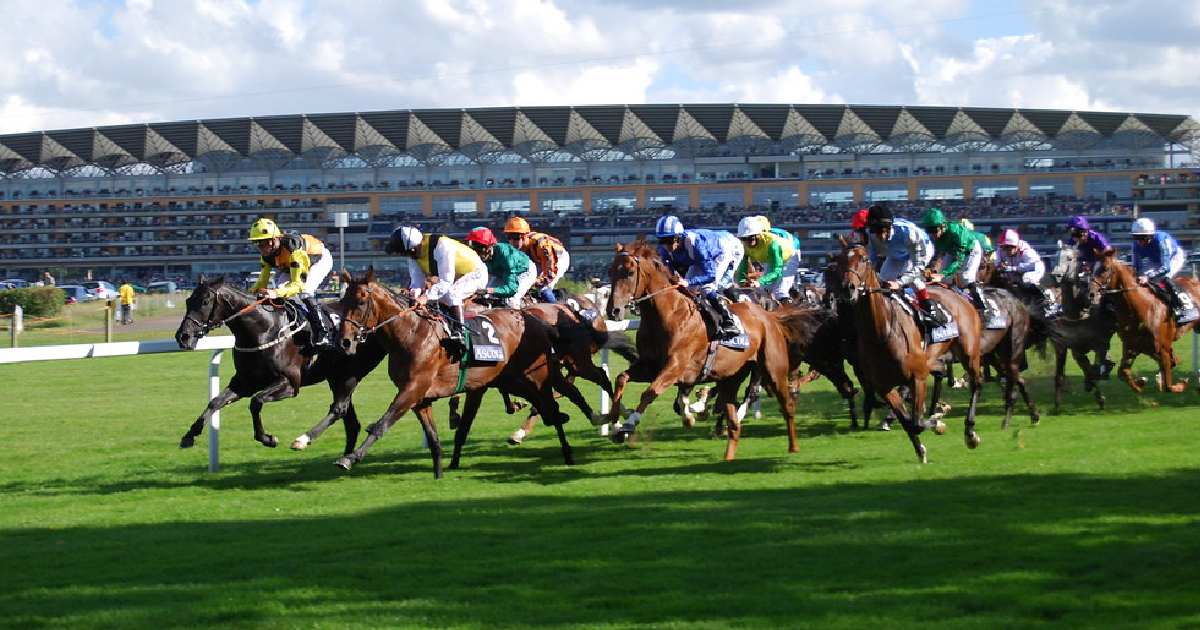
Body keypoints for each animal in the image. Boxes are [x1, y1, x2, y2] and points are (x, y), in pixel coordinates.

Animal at [174, 277, 384, 453]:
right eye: (188, 301)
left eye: (205, 302)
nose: (183, 336)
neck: (264, 329)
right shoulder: (244, 382)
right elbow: (215, 402)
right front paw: (189, 435)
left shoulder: (289, 384)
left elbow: (256, 401)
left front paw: (267, 438)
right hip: (336, 376)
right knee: (350, 421)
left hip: (350, 374)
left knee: (340, 408)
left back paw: (305, 441)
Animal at [333, 268, 576, 477]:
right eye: (342, 301)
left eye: (361, 301)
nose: (344, 342)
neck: (411, 333)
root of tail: (535, 320)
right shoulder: (420, 398)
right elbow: (433, 437)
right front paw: (439, 474)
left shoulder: (412, 389)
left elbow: (383, 423)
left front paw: (350, 458)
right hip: (513, 381)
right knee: (547, 408)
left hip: (536, 378)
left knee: (552, 407)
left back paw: (567, 452)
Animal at [604, 241, 792, 460]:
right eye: (610, 271)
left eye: (629, 272)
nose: (613, 311)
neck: (669, 315)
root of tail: (771, 304)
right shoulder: (650, 365)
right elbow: (621, 378)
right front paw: (614, 422)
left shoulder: (675, 366)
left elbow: (650, 392)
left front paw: (628, 425)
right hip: (736, 368)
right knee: (729, 392)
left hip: (758, 366)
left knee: (751, 392)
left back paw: (728, 419)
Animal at [825, 237, 984, 460]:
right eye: (838, 260)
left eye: (864, 259)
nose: (848, 288)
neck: (881, 333)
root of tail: (955, 292)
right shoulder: (883, 386)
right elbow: (908, 421)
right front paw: (921, 448)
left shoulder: (917, 377)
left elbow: (917, 421)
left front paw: (937, 419)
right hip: (933, 358)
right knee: (941, 372)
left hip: (969, 352)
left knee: (976, 383)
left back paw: (970, 432)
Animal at [1094, 252, 1195, 393]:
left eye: (1105, 269)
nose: (1091, 292)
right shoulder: (1132, 346)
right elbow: (1123, 372)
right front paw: (1141, 381)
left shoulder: (1162, 348)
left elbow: (1169, 385)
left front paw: (1181, 382)